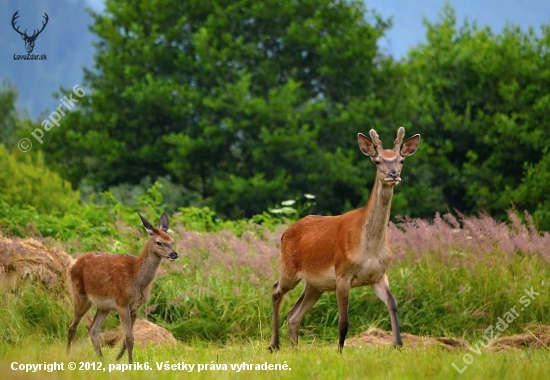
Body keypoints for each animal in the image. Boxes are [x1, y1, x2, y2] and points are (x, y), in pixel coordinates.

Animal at [66, 212, 179, 364]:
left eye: (172, 241)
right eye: (159, 242)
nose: (174, 254)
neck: (137, 280)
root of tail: (73, 264)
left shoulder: (136, 307)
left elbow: (127, 339)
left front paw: (118, 359)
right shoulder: (122, 303)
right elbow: (129, 338)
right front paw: (130, 363)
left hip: (104, 306)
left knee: (93, 329)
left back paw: (101, 358)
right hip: (80, 295)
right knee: (72, 326)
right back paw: (67, 355)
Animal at [270, 127, 420, 350]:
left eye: (401, 160)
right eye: (377, 161)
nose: (393, 175)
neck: (369, 248)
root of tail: (285, 232)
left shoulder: (379, 274)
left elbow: (393, 304)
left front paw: (398, 345)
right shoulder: (342, 273)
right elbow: (343, 321)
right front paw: (340, 351)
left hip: (315, 284)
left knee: (294, 314)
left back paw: (295, 349)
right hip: (289, 267)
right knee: (276, 290)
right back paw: (274, 344)